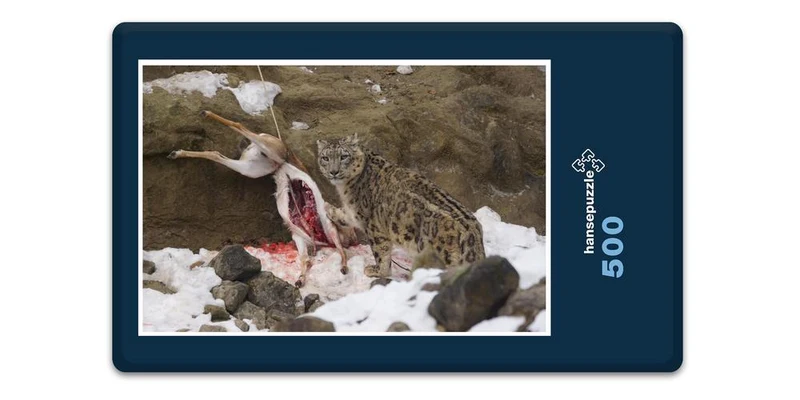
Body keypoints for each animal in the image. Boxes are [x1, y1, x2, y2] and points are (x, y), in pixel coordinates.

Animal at [316, 133, 485, 278]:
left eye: (343, 156)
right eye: (325, 157)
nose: (333, 172)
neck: (346, 187)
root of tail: (472, 232)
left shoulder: (373, 226)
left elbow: (381, 252)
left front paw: (377, 271)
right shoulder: (355, 213)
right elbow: (346, 215)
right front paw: (328, 208)